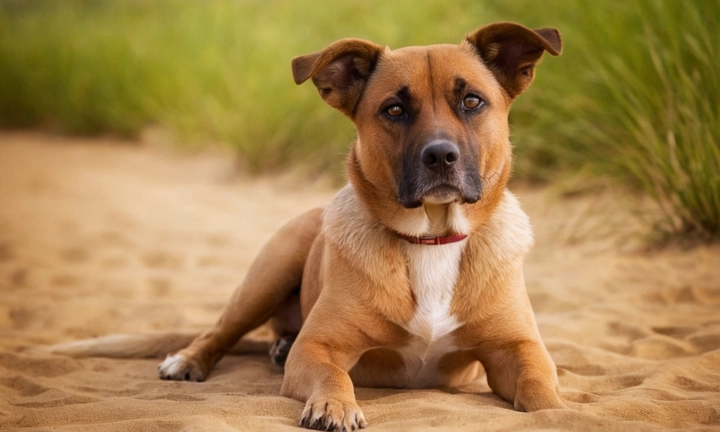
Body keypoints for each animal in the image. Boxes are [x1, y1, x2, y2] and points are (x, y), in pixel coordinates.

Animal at [53, 21, 564, 432]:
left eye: (472, 100)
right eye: (394, 110)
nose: (440, 156)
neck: (432, 236)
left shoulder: (519, 349)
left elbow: (542, 390)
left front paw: (556, 410)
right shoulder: (317, 347)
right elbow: (333, 373)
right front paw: (333, 406)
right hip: (268, 273)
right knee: (218, 333)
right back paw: (191, 359)